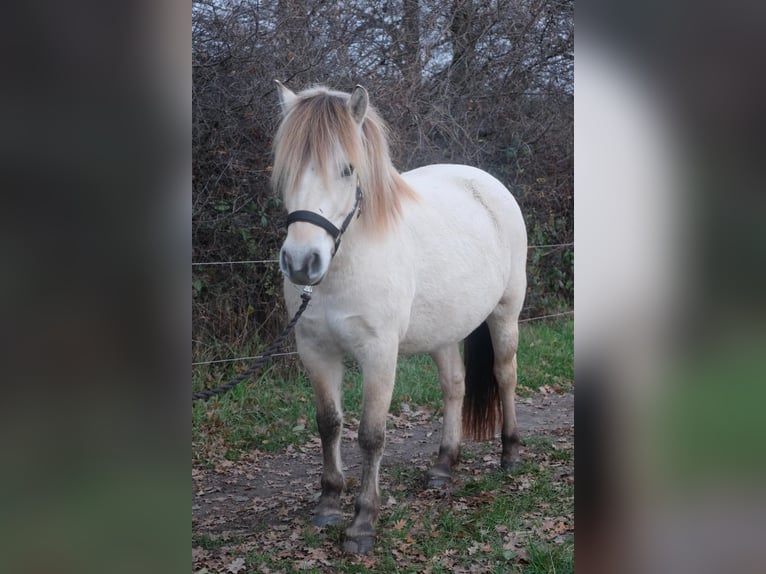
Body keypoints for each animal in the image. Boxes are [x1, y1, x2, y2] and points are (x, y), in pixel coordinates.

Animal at [272, 82, 527, 554]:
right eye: (287, 170)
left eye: (348, 169)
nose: (301, 263)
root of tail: (487, 183)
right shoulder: (315, 351)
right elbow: (328, 424)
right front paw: (328, 501)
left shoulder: (379, 354)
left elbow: (371, 435)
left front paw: (362, 523)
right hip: (444, 331)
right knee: (454, 387)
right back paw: (444, 465)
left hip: (506, 314)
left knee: (505, 376)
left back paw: (511, 454)